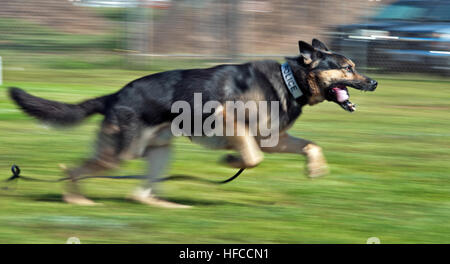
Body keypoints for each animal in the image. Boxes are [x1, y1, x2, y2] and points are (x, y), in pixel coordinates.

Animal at [8, 39, 378, 207]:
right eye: (347, 68)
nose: (374, 83)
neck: (291, 81)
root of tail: (114, 95)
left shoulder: (273, 138)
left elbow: (311, 145)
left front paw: (315, 169)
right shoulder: (230, 121)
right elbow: (252, 156)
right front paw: (230, 160)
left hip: (158, 152)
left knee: (139, 192)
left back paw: (165, 205)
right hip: (122, 154)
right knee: (73, 168)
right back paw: (76, 200)